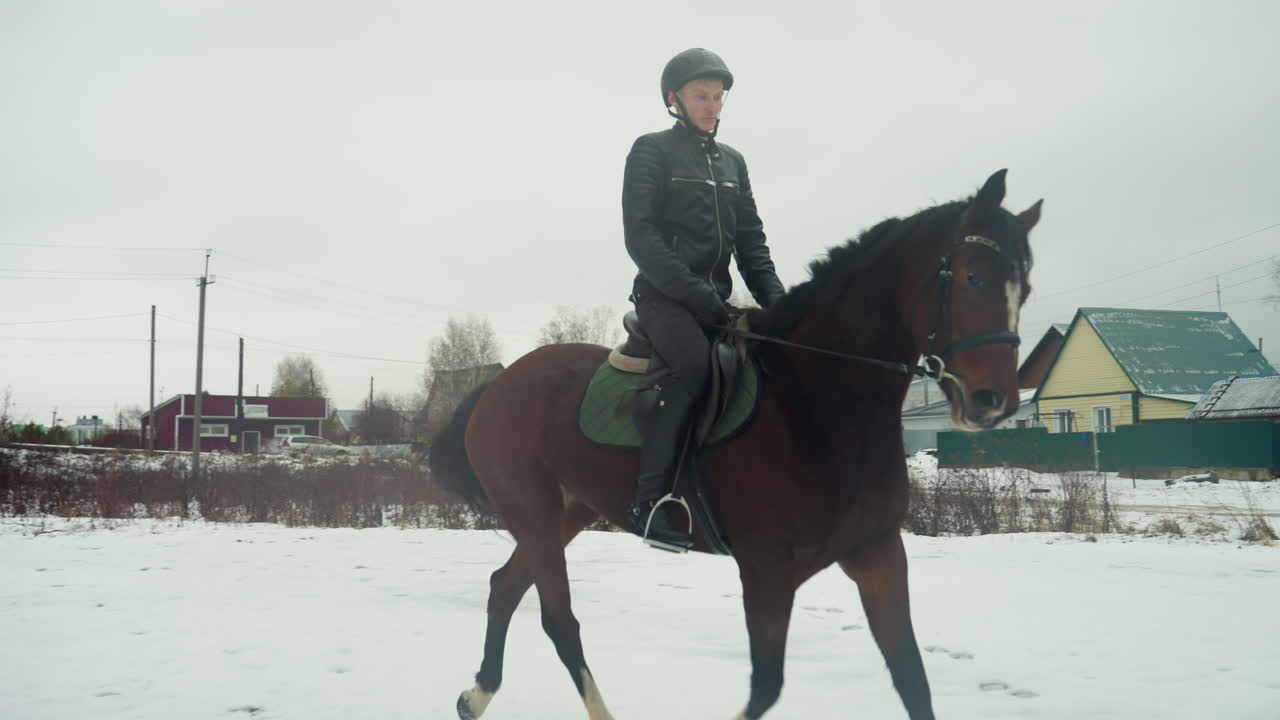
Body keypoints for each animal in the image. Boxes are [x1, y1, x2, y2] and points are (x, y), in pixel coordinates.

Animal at [430, 169, 1041, 719]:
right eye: (975, 277)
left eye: (1026, 288)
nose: (994, 401)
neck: (813, 405)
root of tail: (497, 385)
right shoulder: (767, 574)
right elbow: (766, 687)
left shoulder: (878, 554)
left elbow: (912, 679)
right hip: (533, 513)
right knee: (559, 621)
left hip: (566, 513)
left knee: (505, 587)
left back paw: (474, 697)